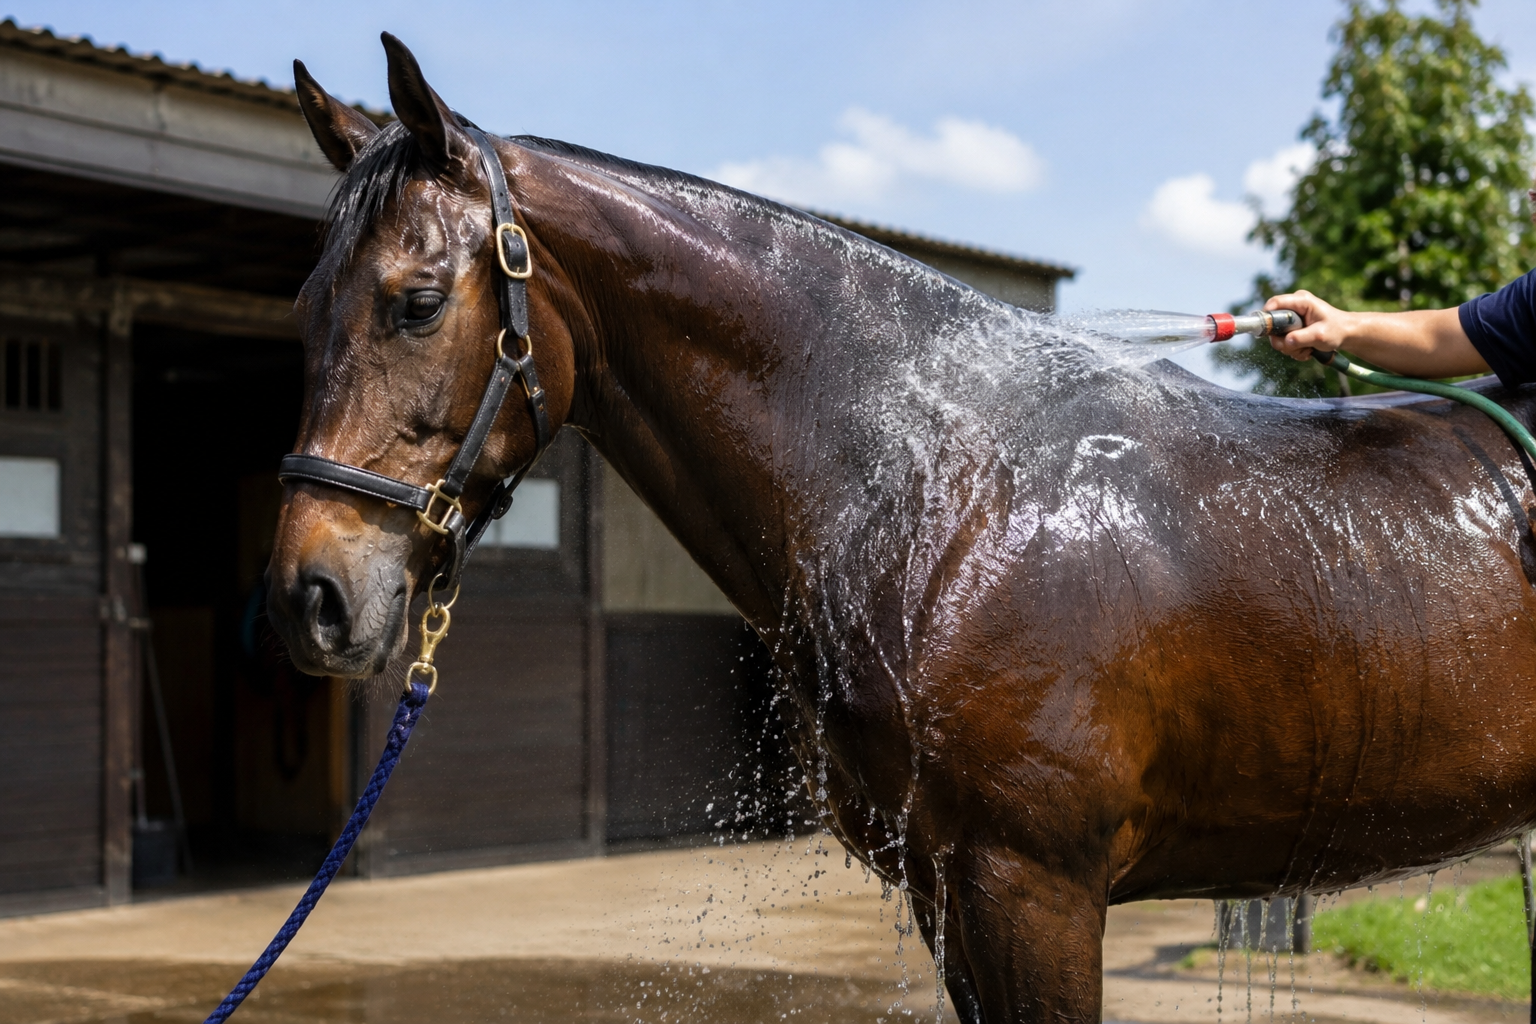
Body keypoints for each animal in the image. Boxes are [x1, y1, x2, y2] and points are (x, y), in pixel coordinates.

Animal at [266, 35, 1536, 1023]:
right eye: (306, 306)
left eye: (417, 301)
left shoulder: (1034, 887)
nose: (308, 596)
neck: (954, 493)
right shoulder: (946, 891)